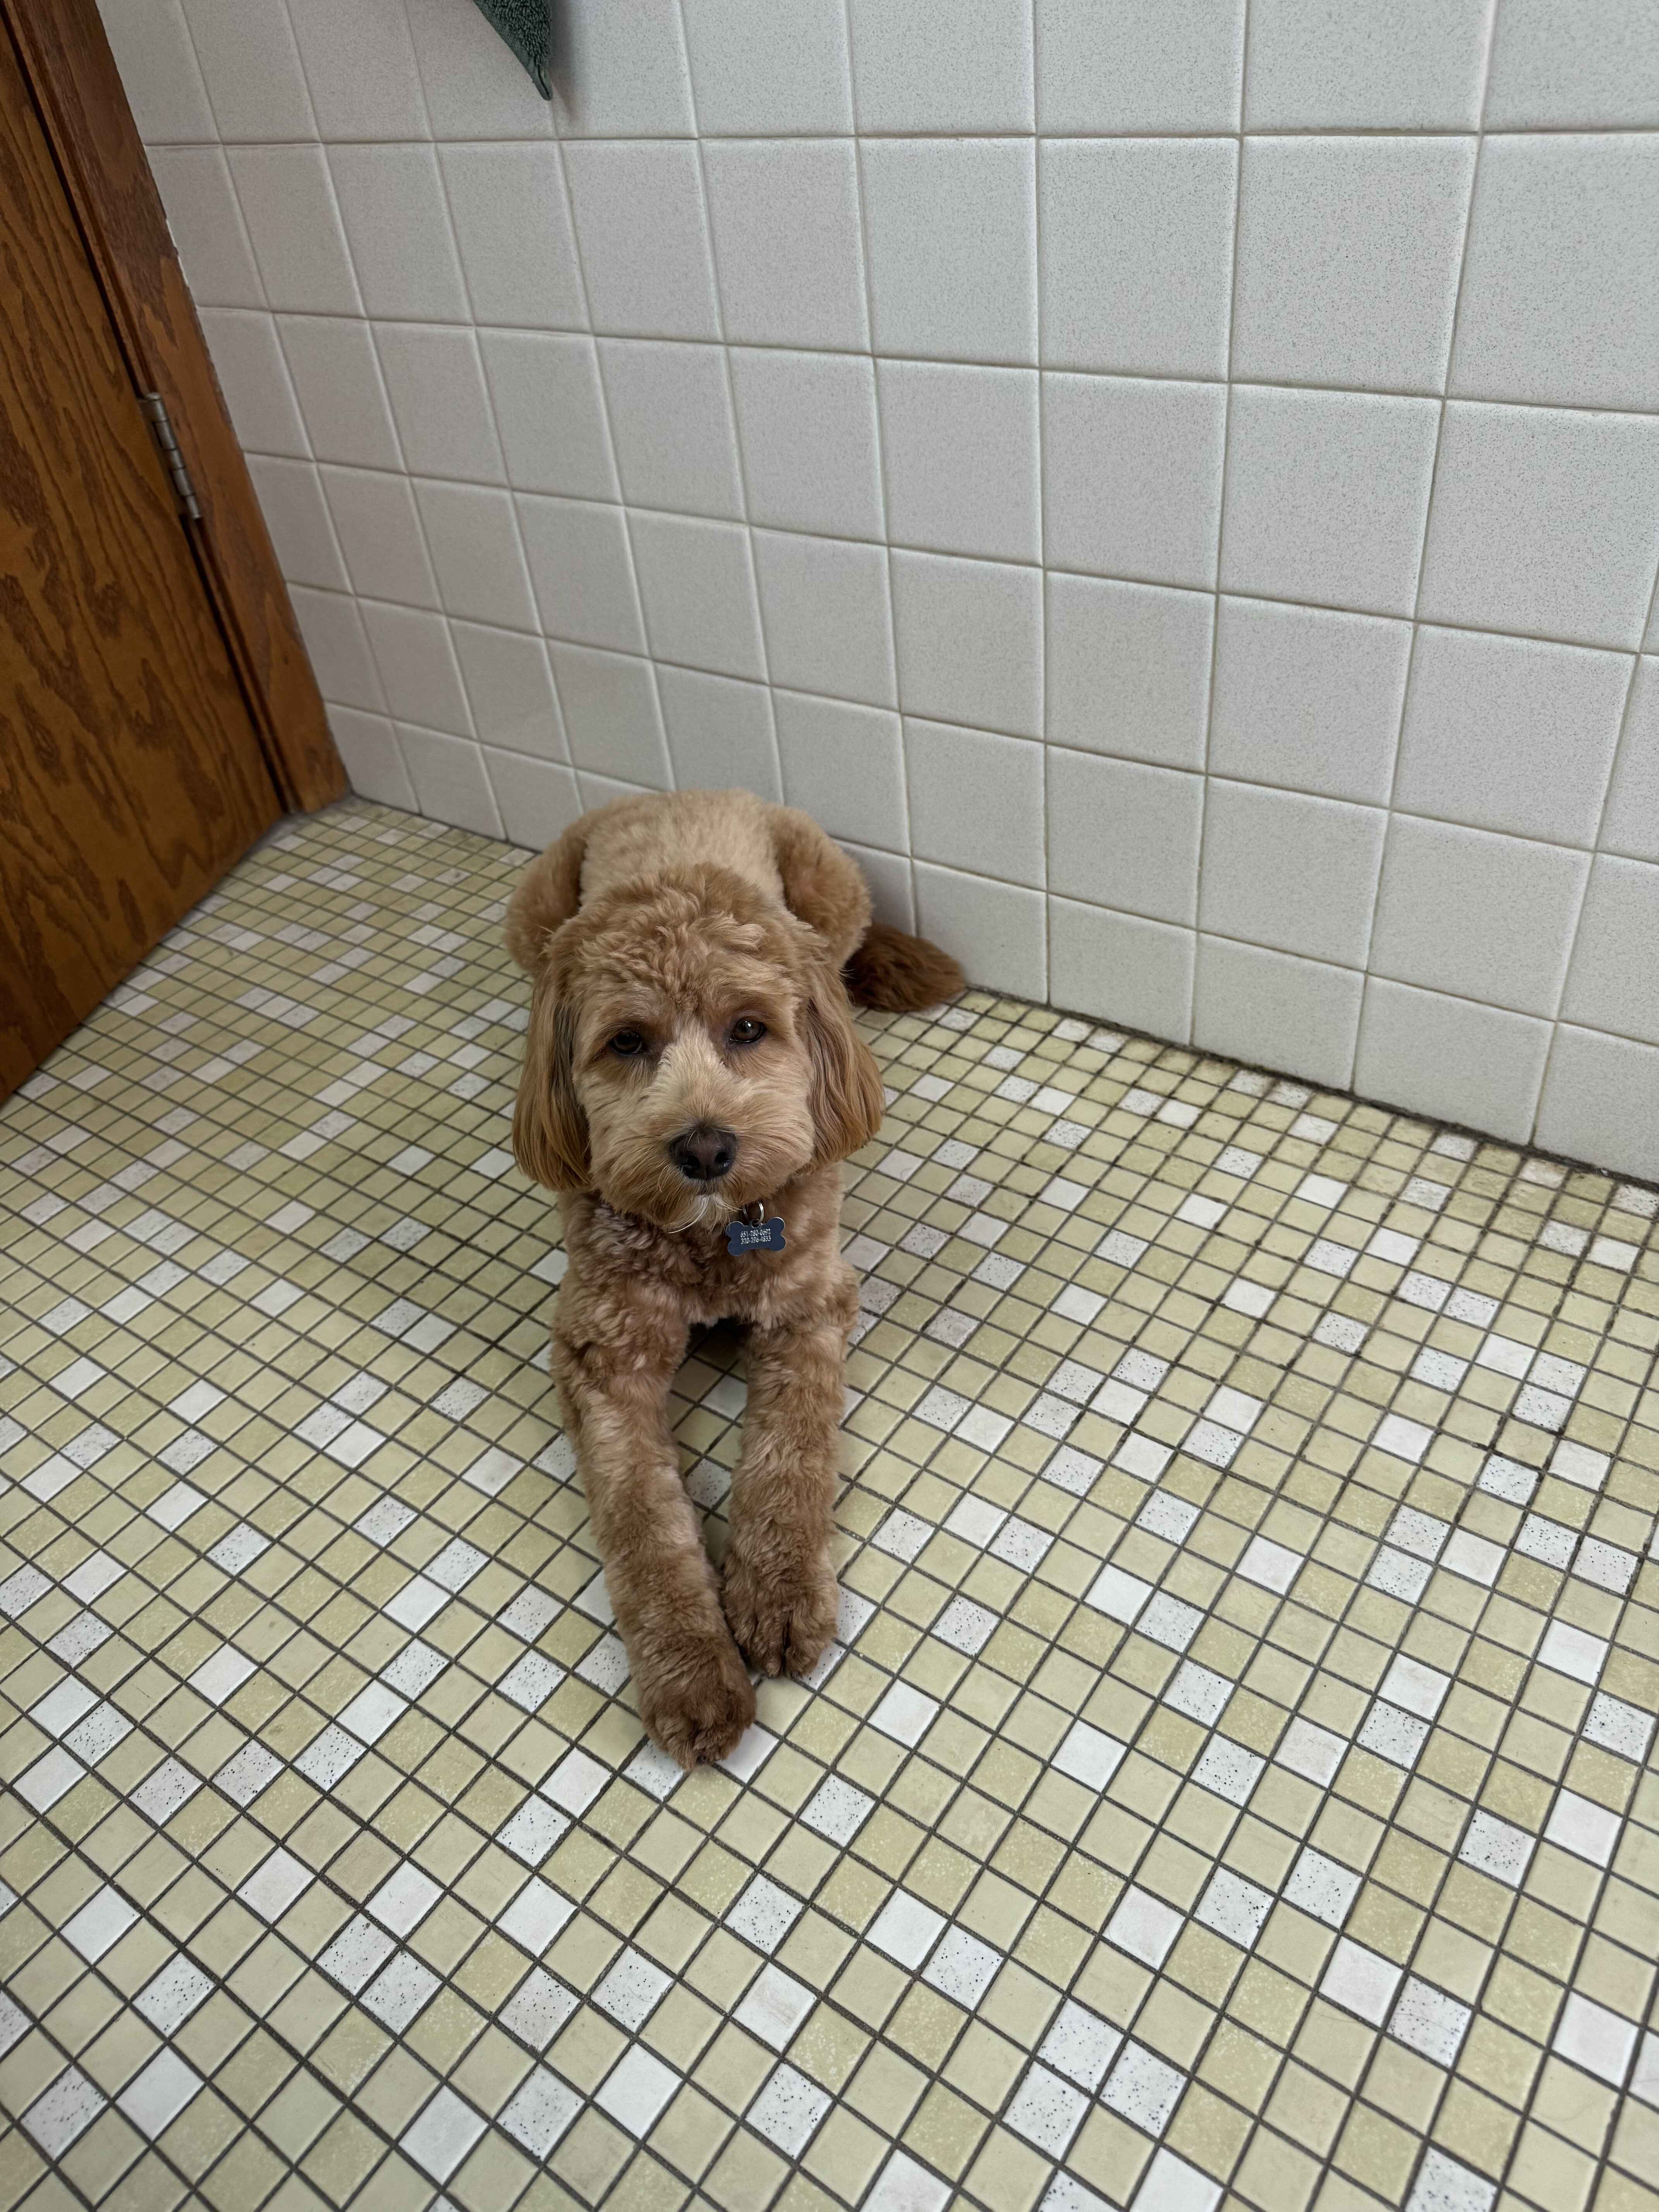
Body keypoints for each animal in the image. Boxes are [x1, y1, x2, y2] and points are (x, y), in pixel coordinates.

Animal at [504, 788, 962, 1767]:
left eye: (748, 1028)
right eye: (627, 1042)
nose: (706, 1148)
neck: (713, 1238)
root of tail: (669, 793)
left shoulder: (809, 1306)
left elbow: (790, 1456)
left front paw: (781, 1598)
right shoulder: (604, 1353)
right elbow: (644, 1521)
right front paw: (691, 1671)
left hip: (828, 892)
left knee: (846, 949)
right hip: (533, 915)